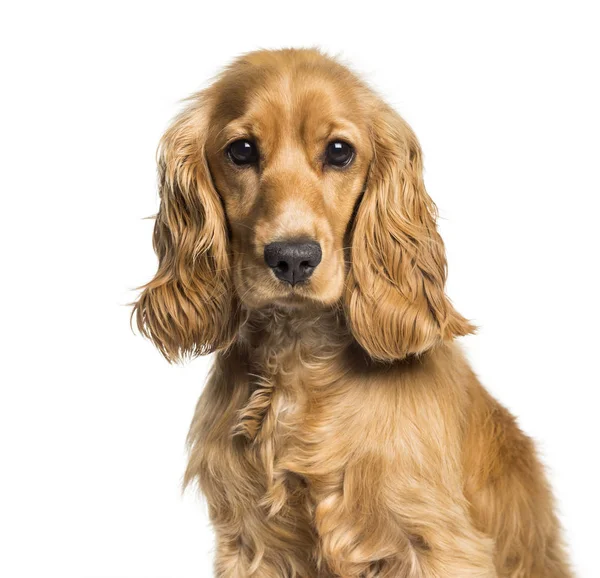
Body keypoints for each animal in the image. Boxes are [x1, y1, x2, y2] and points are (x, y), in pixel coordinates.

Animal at [134, 48, 568, 576]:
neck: (299, 359)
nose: (293, 258)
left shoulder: (437, 541)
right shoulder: (248, 542)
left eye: (340, 151)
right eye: (241, 150)